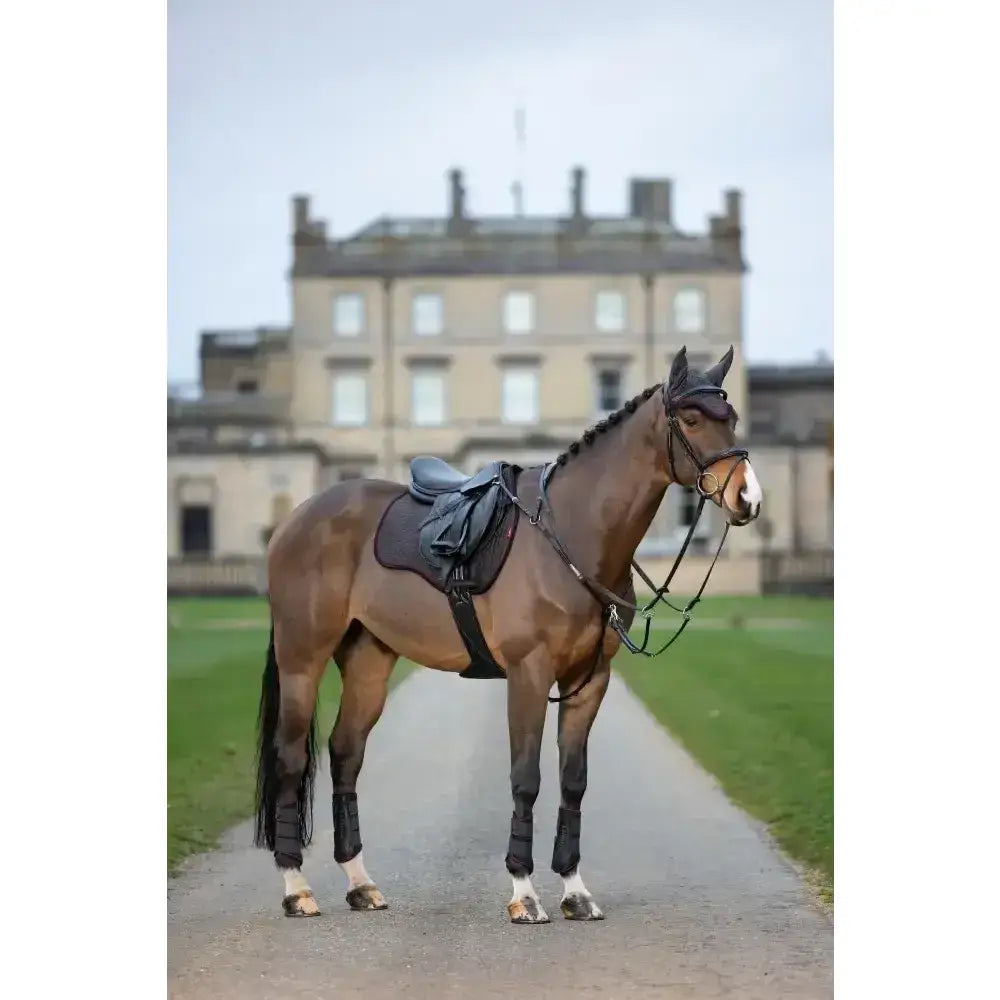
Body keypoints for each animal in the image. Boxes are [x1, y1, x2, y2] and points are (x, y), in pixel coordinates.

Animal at [253, 345, 762, 923]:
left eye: (732, 417)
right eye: (693, 420)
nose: (748, 497)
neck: (572, 536)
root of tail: (295, 520)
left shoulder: (590, 681)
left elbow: (573, 781)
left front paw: (574, 890)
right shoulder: (528, 674)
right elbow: (526, 778)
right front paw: (524, 892)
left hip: (367, 662)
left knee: (345, 754)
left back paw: (360, 883)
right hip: (302, 659)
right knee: (291, 757)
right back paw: (296, 887)